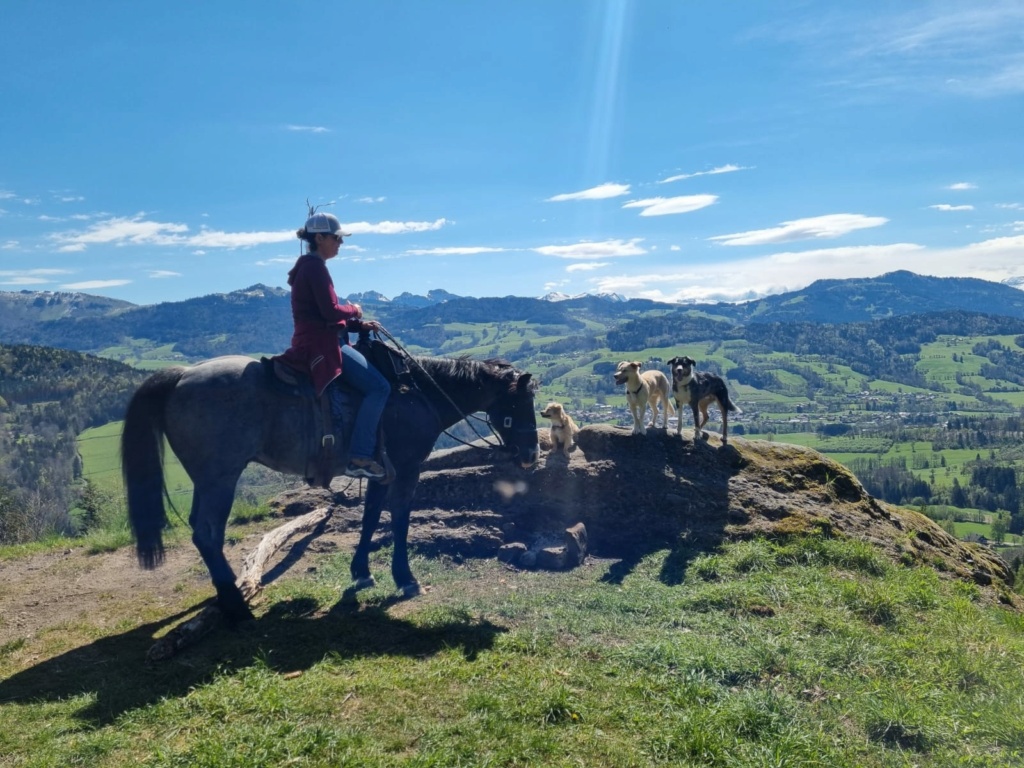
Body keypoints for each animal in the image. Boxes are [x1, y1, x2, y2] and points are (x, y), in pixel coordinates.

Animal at [120, 352, 540, 622]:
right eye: (519, 404)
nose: (531, 454)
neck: (419, 394)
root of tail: (180, 375)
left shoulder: (381, 471)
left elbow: (371, 518)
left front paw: (362, 572)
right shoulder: (406, 469)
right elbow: (400, 520)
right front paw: (405, 579)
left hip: (208, 479)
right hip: (220, 477)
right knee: (207, 532)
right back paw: (235, 604)